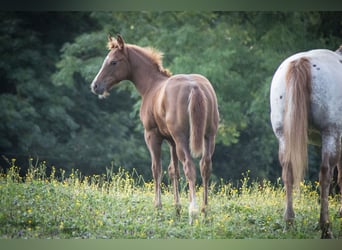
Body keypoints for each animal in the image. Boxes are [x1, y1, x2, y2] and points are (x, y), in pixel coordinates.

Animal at [91, 34, 219, 223]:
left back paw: (193, 211)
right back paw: (205, 212)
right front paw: (176, 208)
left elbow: (156, 168)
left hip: (182, 138)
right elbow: (173, 171)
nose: (95, 86)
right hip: (209, 136)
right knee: (205, 166)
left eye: (113, 62)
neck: (151, 86)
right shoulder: (171, 141)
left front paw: (158, 207)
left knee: (190, 167)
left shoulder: (152, 135)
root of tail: (194, 87)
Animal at [270, 47, 342, 238]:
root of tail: (302, 61)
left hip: (284, 135)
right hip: (330, 132)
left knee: (288, 171)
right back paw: (325, 227)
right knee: (325, 173)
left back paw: (289, 222)